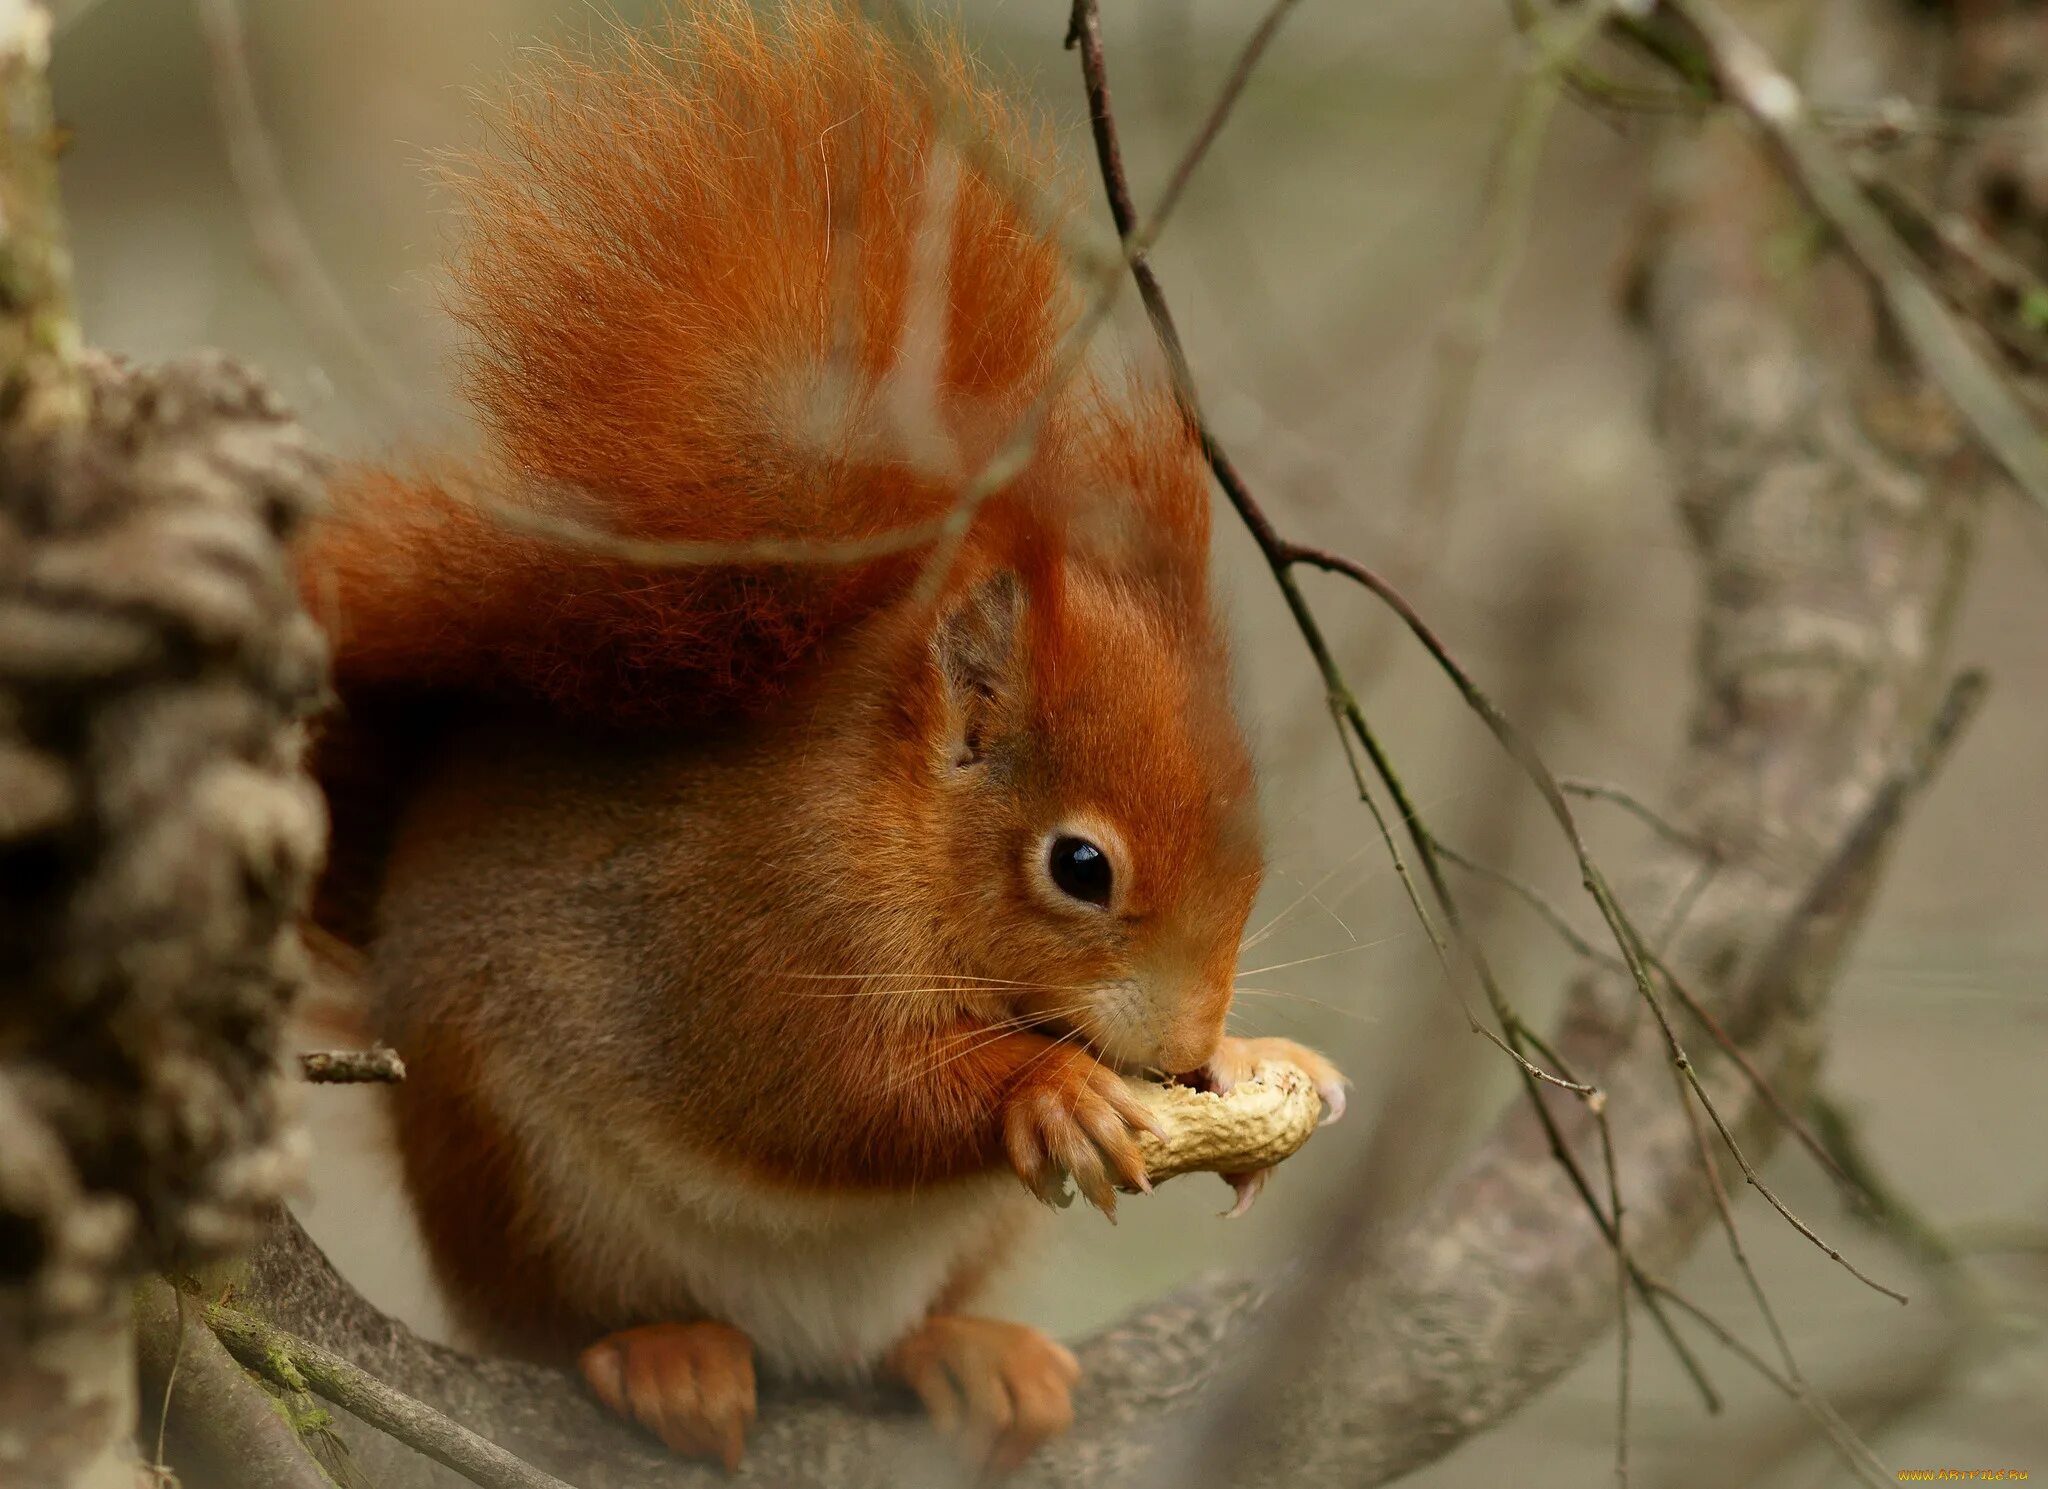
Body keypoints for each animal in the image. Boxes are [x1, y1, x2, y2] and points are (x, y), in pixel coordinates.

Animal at [292, 0, 1343, 1466]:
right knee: (565, 1318)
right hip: (517, 1186)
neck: (890, 817)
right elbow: (829, 1095)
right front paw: (1049, 1090)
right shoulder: (755, 919)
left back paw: (967, 1355)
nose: (1191, 1044)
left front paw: (1262, 1063)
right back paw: (663, 1356)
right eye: (1079, 868)